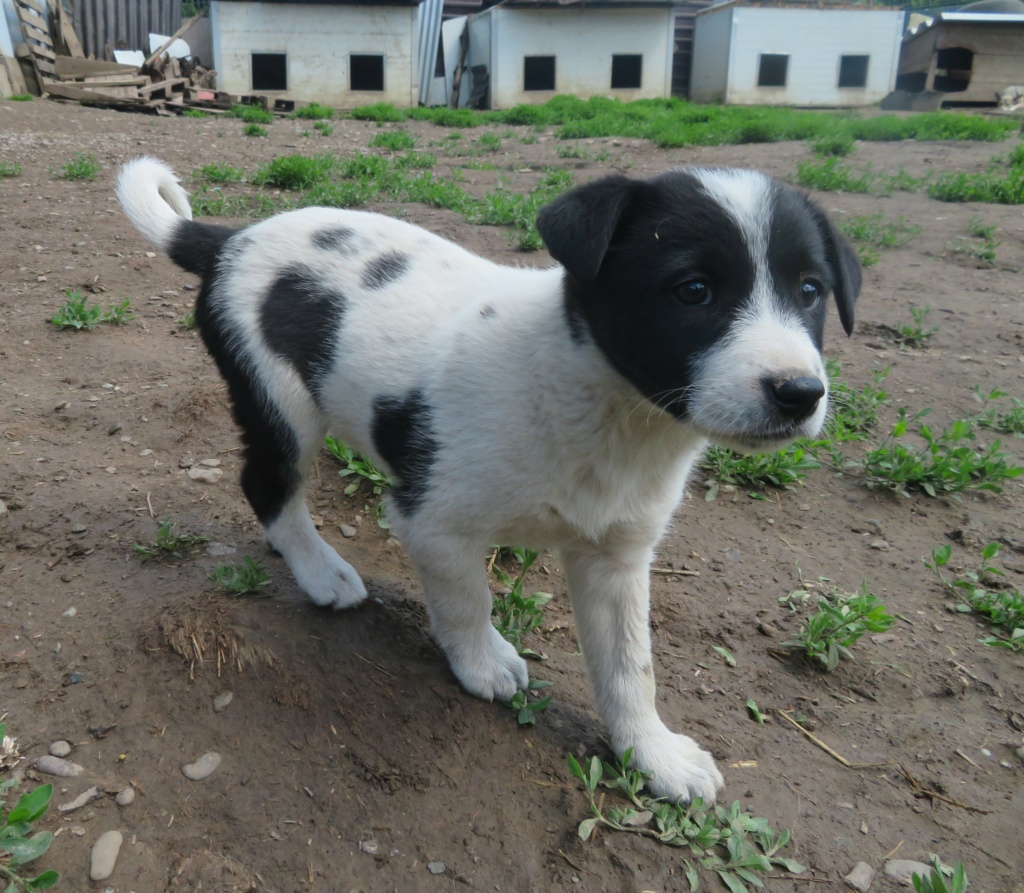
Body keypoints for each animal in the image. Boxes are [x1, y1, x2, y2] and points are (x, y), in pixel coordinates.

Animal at [117, 158, 856, 802]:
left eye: (810, 291)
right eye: (693, 290)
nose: (799, 393)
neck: (603, 404)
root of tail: (230, 239)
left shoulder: (617, 555)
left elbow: (629, 669)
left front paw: (654, 755)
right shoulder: (432, 521)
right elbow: (467, 600)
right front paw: (482, 664)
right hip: (279, 402)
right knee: (267, 484)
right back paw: (322, 571)